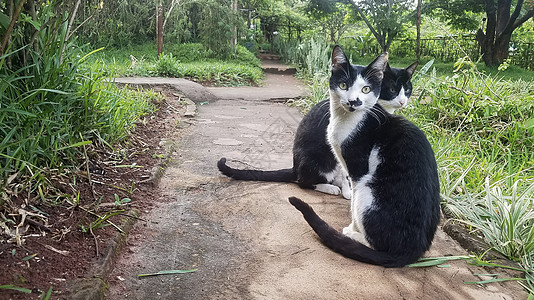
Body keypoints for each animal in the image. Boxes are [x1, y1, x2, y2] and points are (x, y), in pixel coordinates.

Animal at [218, 58, 418, 199]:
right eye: (392, 89)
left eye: (407, 90)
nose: (402, 101)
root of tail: (295, 167)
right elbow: (346, 173)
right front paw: (348, 192)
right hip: (318, 160)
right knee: (303, 182)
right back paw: (329, 187)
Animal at [292, 46, 442, 268]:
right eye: (343, 85)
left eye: (366, 90)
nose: (354, 101)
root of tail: (411, 251)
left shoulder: (357, 169)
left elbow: (352, 201)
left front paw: (352, 228)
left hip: (367, 187)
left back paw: (353, 236)